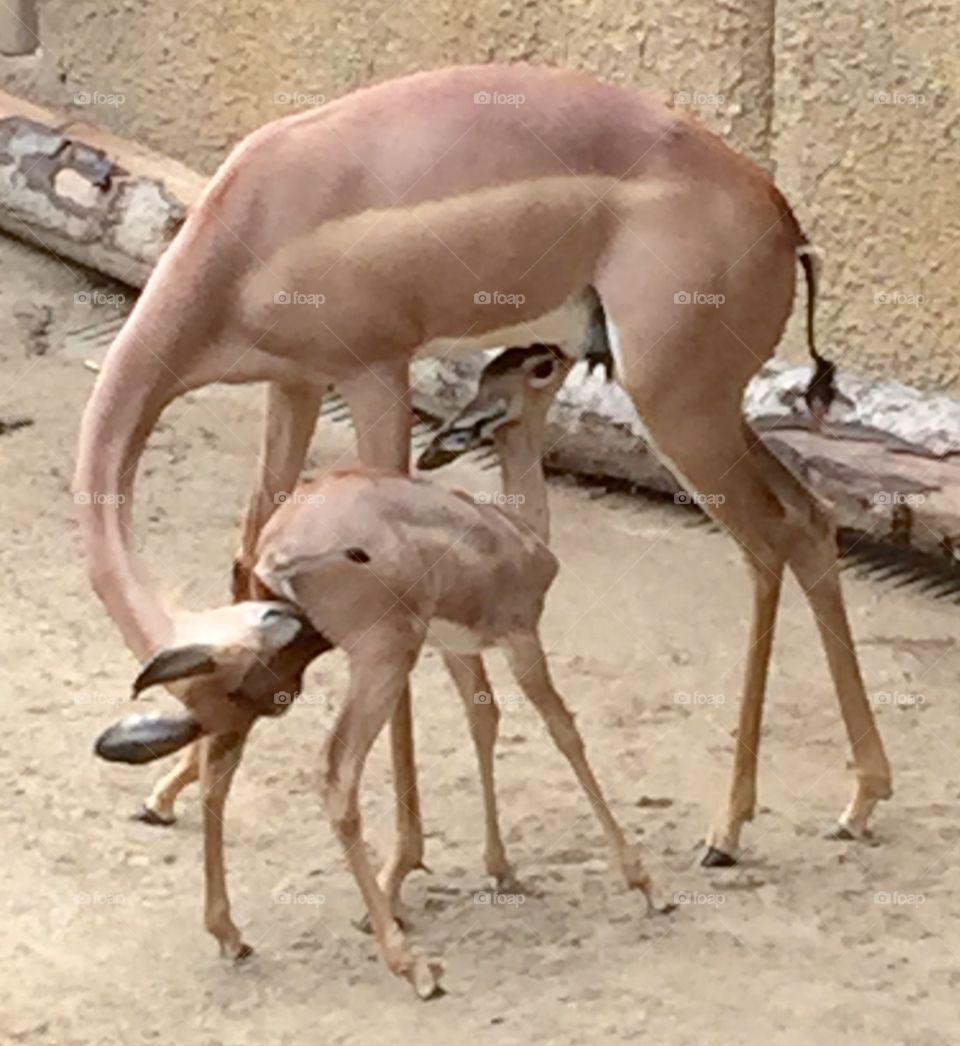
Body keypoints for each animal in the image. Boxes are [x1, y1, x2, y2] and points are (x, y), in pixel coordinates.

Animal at [75, 64, 890, 891]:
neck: (252, 220)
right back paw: (857, 799)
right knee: (811, 519)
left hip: (679, 413)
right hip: (715, 411)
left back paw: (728, 829)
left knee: (766, 542)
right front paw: (165, 792)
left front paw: (406, 858)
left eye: (274, 694)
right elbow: (246, 550)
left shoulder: (374, 375)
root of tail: (780, 213)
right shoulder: (296, 384)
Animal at [94, 346, 655, 998]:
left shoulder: (457, 647)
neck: (521, 533)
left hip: (276, 672)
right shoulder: (520, 637)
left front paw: (501, 868)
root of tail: (277, 551)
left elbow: (483, 721)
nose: (580, 353)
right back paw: (412, 964)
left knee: (221, 765)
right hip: (381, 656)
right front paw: (643, 881)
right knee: (335, 774)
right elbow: (563, 729)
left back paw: (229, 930)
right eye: (541, 368)